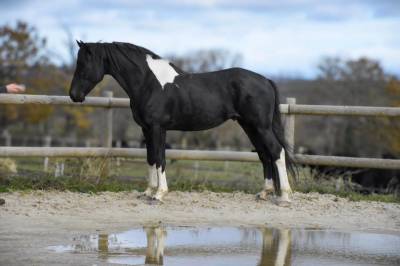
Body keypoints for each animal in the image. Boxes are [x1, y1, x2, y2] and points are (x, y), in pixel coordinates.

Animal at [69, 41, 294, 204]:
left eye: (84, 64)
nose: (74, 95)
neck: (149, 83)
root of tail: (265, 80)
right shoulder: (146, 129)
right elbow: (151, 158)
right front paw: (148, 192)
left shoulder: (158, 128)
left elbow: (160, 158)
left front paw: (159, 194)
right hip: (249, 126)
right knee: (264, 154)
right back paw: (264, 193)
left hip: (260, 126)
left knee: (276, 151)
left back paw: (284, 196)